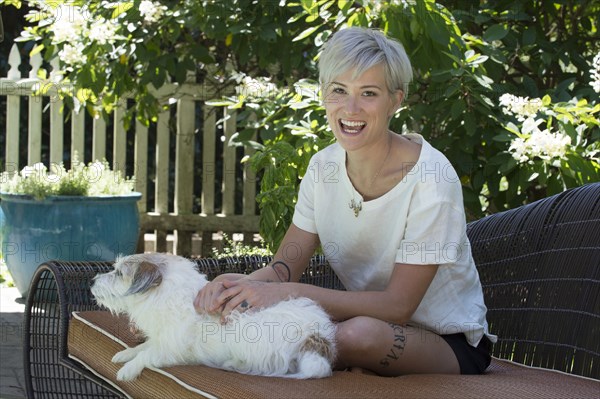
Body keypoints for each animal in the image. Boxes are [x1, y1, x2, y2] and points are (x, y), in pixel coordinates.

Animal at [91, 253, 336, 382]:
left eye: (119, 273)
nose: (91, 282)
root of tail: (317, 337)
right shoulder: (162, 338)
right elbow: (144, 346)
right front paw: (126, 353)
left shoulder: (172, 349)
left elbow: (148, 354)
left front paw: (128, 369)